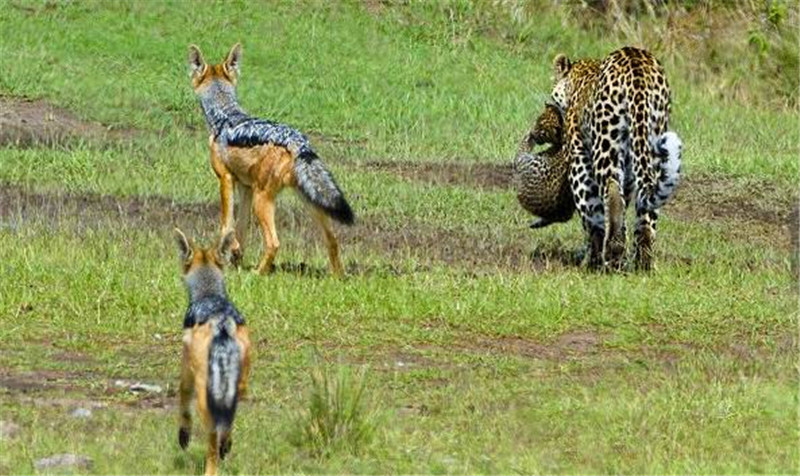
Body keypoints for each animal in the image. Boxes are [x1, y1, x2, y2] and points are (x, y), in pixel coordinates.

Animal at [552, 48, 680, 274]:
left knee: (612, 195)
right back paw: (643, 265)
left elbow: (591, 212)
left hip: (606, 146)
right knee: (646, 210)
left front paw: (592, 259)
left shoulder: (578, 158)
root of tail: (637, 72)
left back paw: (612, 260)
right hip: (653, 142)